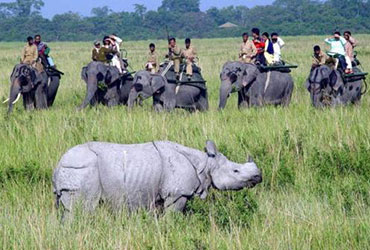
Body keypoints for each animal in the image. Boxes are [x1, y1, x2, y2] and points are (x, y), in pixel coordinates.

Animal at [52, 140, 264, 218]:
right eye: (236, 171)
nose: (259, 176)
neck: (205, 164)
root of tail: (58, 164)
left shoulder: (161, 195)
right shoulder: (178, 194)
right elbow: (174, 216)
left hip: (73, 170)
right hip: (81, 169)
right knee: (82, 210)